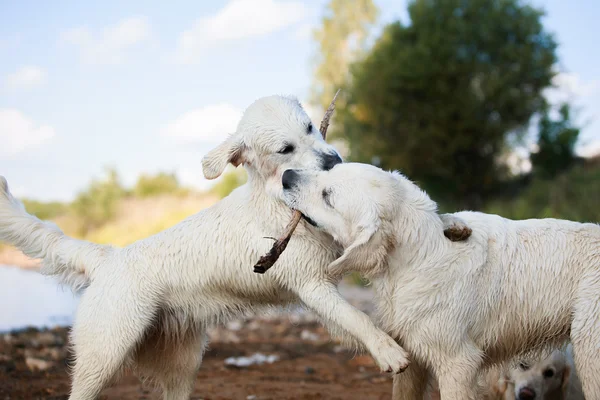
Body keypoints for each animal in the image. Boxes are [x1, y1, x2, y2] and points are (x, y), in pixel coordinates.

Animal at [1, 96, 478, 400]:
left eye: (310, 127)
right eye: (285, 148)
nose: (333, 160)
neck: (281, 199)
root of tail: (109, 256)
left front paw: (454, 226)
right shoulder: (312, 285)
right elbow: (358, 318)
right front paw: (388, 351)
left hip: (182, 367)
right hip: (102, 356)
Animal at [280, 163, 600, 400]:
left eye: (327, 196)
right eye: (329, 170)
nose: (286, 175)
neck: (417, 258)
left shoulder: (458, 364)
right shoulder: (412, 359)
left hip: (589, 351)